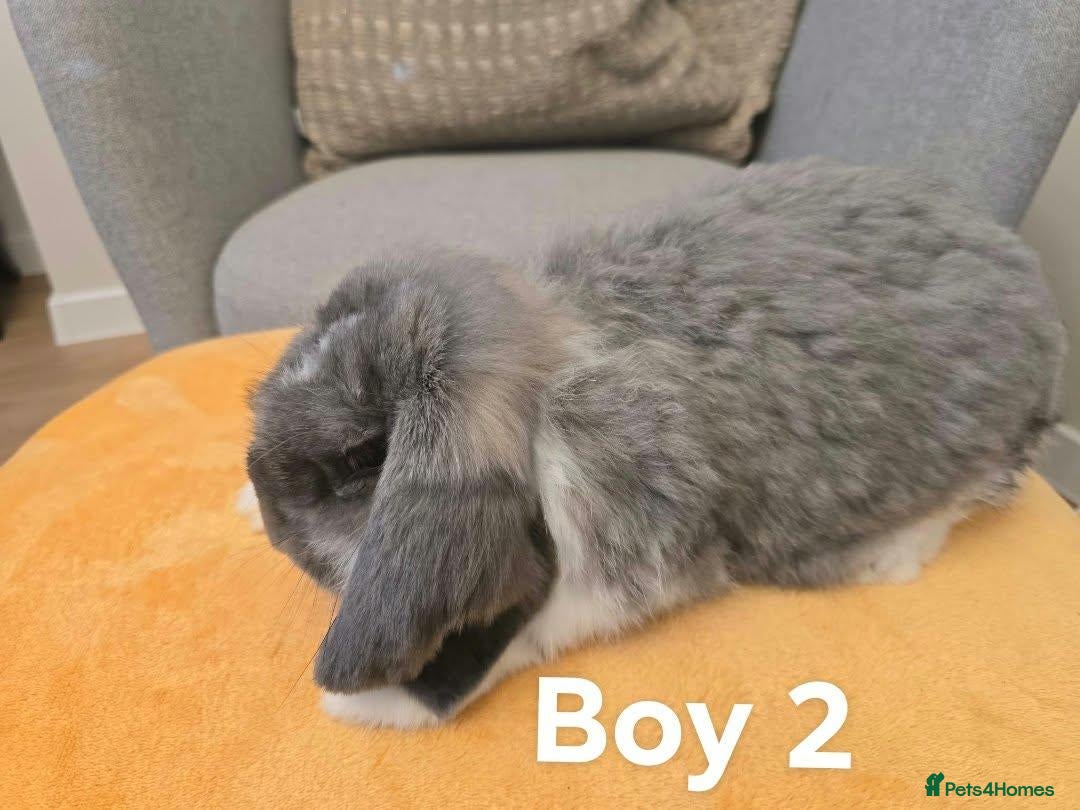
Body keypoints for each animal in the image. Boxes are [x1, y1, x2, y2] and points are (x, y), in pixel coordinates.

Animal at [242, 158, 1065, 729]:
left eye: (359, 459)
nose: (277, 530)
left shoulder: (633, 552)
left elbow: (522, 633)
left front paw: (370, 707)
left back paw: (883, 557)